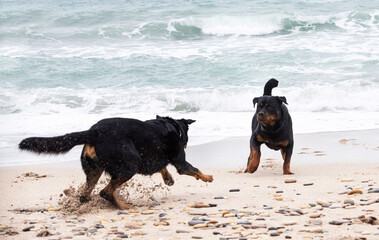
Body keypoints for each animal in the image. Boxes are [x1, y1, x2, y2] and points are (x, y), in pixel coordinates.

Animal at [19, 116, 214, 208]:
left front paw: (168, 178)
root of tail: (93, 132)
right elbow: (194, 169)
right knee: (105, 192)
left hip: (94, 170)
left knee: (86, 194)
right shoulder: (180, 162)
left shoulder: (151, 160)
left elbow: (161, 167)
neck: (170, 125)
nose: (186, 143)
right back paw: (123, 205)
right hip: (130, 164)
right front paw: (208, 177)